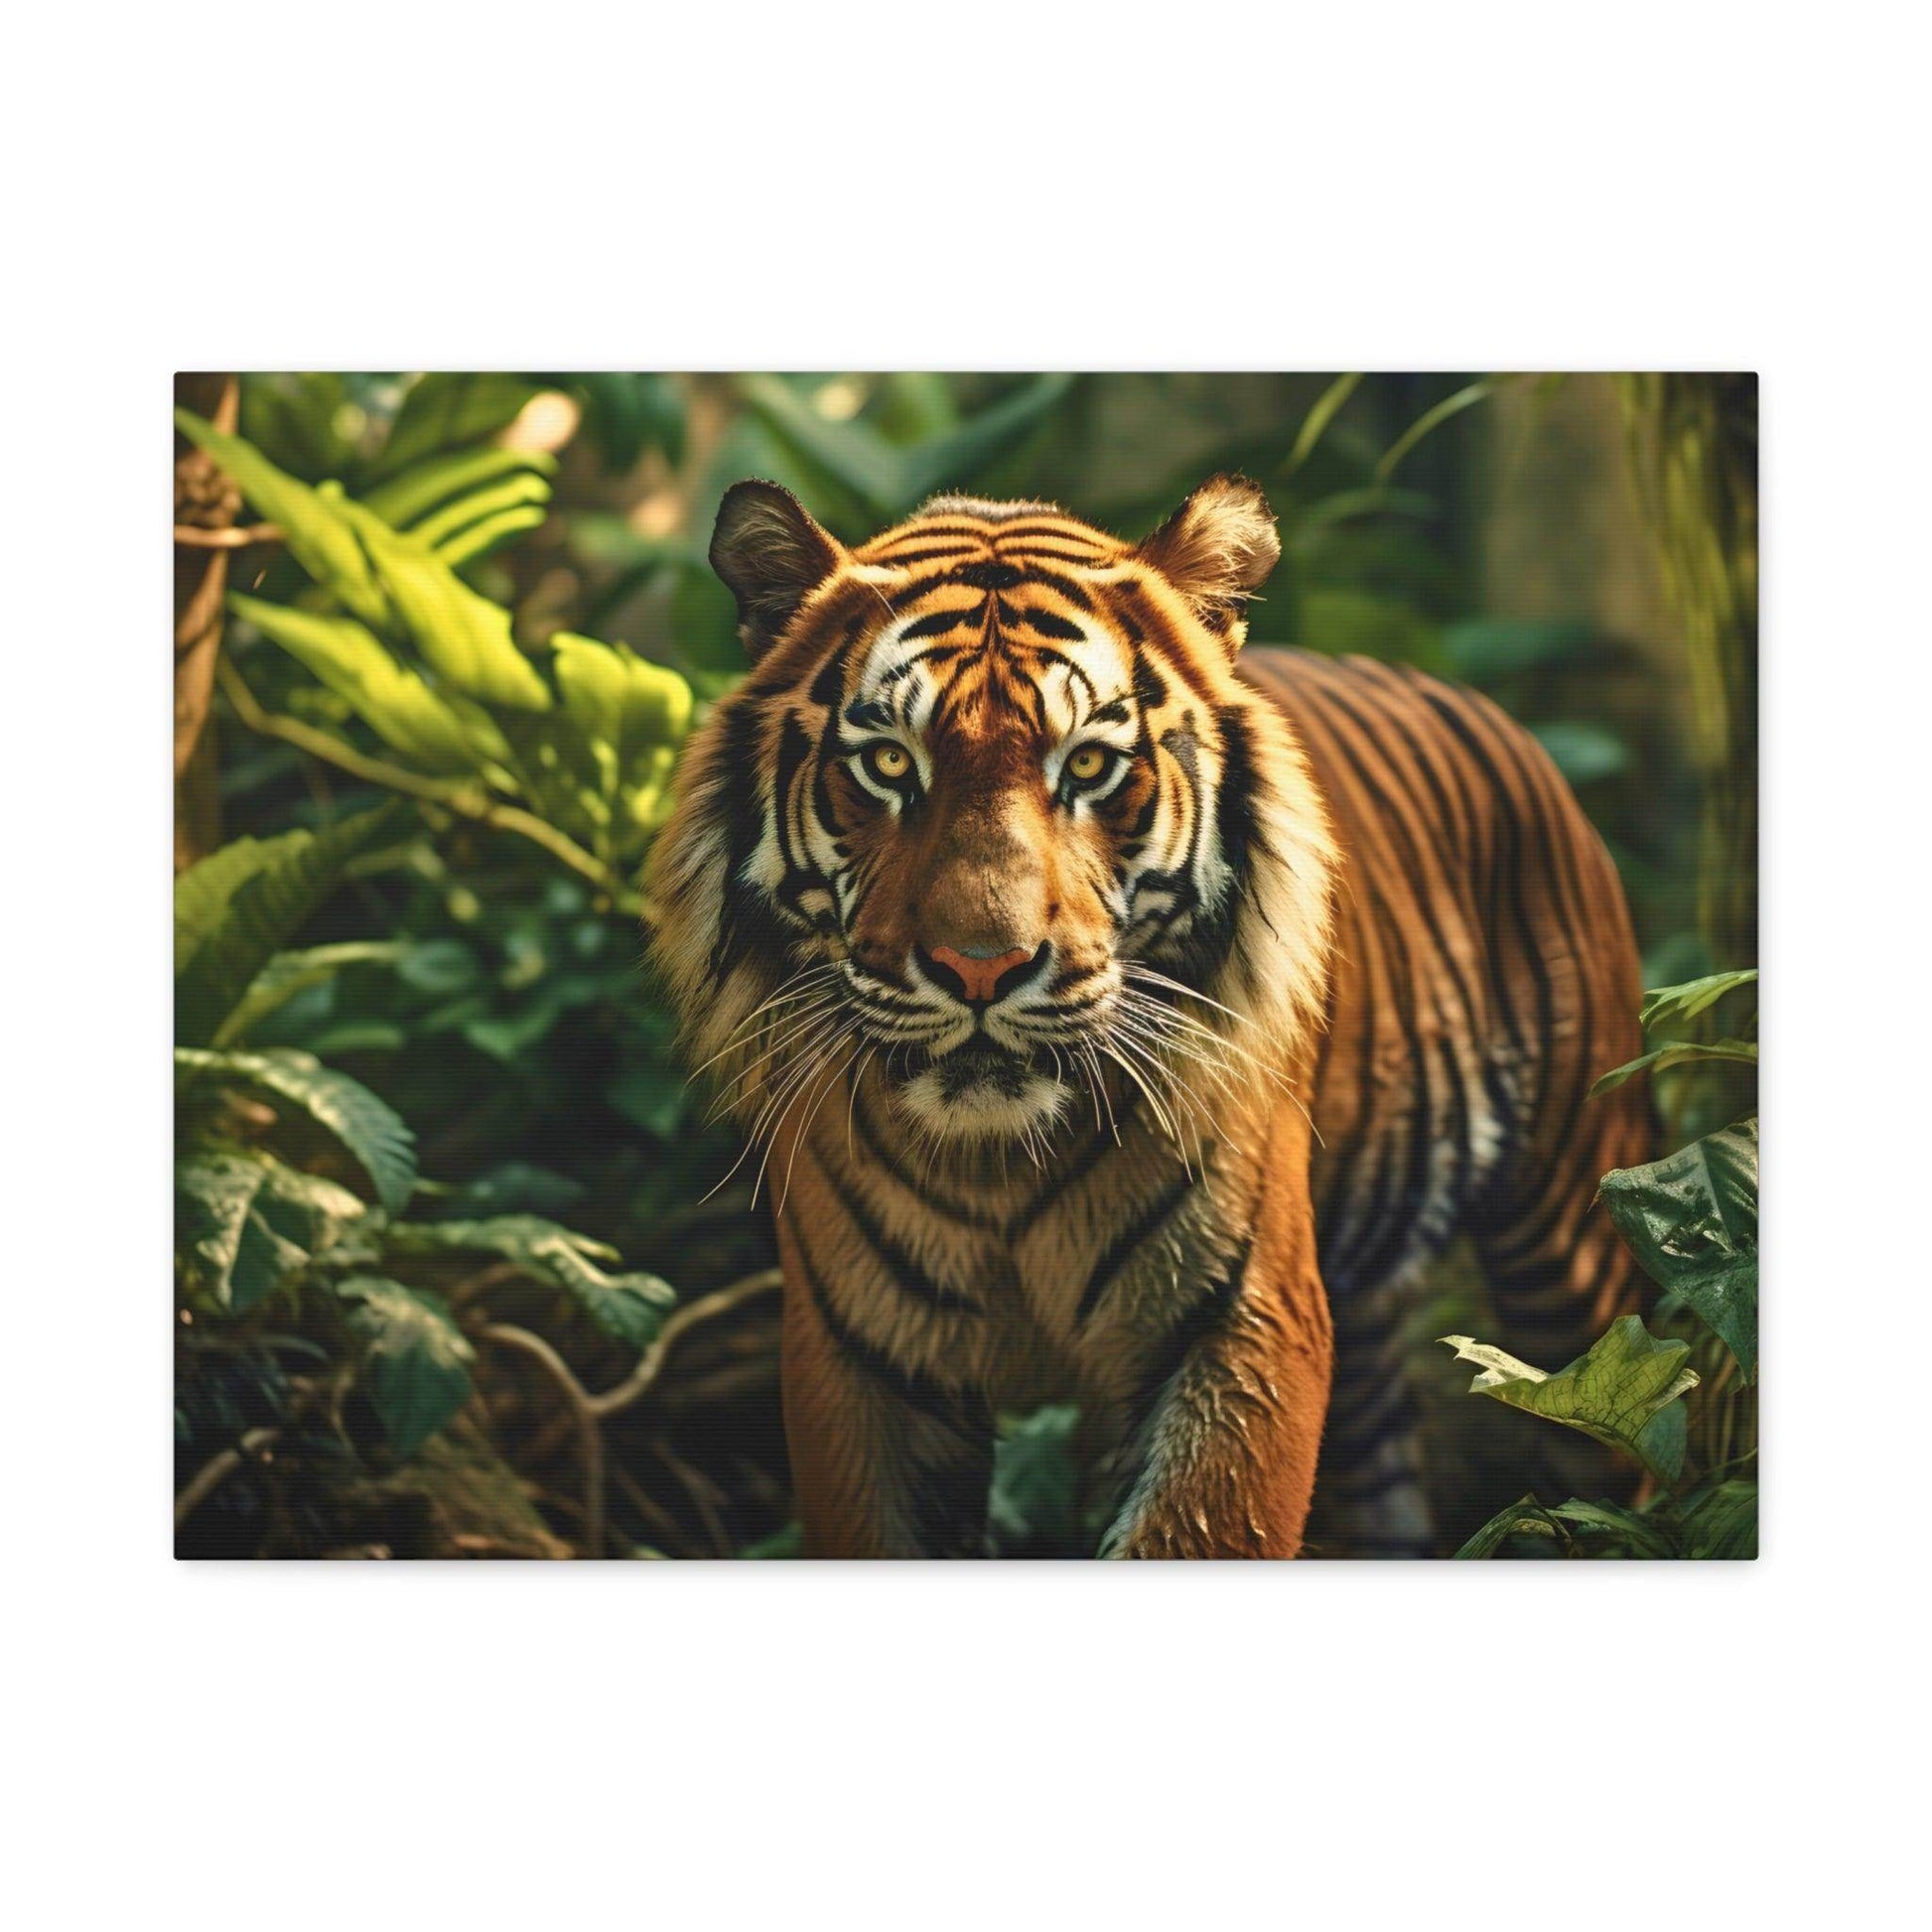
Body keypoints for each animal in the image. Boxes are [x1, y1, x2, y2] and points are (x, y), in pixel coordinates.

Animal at [648, 473, 1650, 1557]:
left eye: (1087, 767)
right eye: (887, 764)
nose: (980, 967)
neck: (999, 1168)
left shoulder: (1241, 1324)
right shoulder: (858, 1360)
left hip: (1574, 1242)